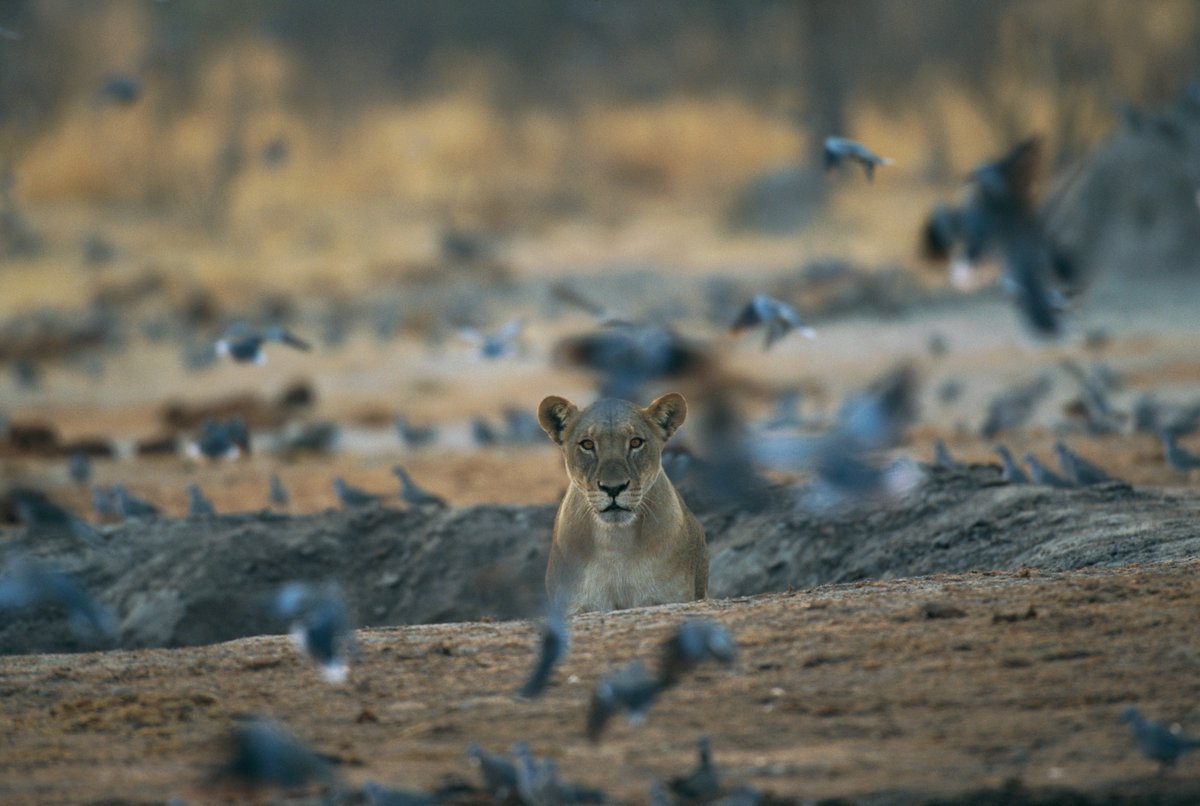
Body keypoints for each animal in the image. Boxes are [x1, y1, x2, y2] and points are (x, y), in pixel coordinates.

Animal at [536, 392, 708, 614]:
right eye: (587, 444)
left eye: (635, 442)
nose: (613, 488)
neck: (616, 542)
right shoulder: (572, 605)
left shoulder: (671, 597)